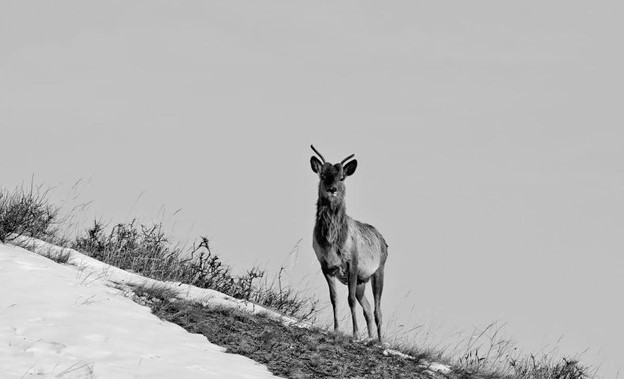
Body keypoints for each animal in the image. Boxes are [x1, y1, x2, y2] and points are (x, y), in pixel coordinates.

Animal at [310, 145, 388, 344]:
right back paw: (370, 337)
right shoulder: (325, 265)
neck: (331, 241)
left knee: (377, 310)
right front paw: (336, 329)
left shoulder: (352, 262)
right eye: (323, 175)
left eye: (342, 177)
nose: (332, 189)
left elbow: (350, 299)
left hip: (378, 270)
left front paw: (355, 334)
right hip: (362, 280)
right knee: (367, 308)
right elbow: (334, 298)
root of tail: (384, 241)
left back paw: (379, 341)